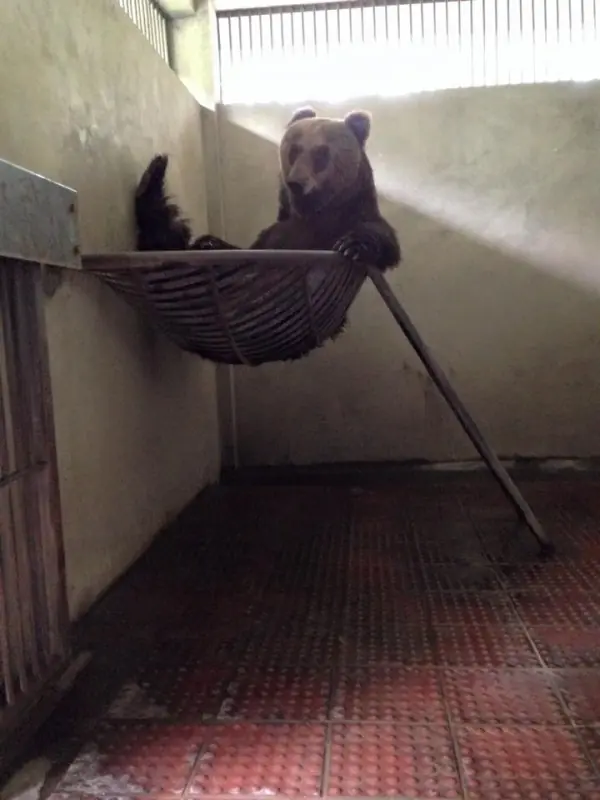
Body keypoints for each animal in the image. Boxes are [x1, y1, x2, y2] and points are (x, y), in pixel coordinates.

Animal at [134, 106, 401, 273]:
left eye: (321, 154)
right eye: (295, 150)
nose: (296, 183)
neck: (309, 212)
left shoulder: (347, 217)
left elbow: (380, 236)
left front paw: (352, 246)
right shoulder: (272, 235)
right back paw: (154, 176)